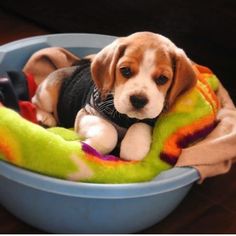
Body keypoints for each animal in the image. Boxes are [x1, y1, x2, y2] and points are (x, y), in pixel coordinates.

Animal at [32, 31, 196, 160]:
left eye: (162, 79)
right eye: (125, 71)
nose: (138, 100)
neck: (126, 119)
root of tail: (77, 66)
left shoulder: (150, 120)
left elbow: (139, 128)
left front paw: (132, 146)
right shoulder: (87, 113)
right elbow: (109, 133)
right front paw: (87, 146)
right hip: (47, 92)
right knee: (35, 101)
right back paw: (45, 117)